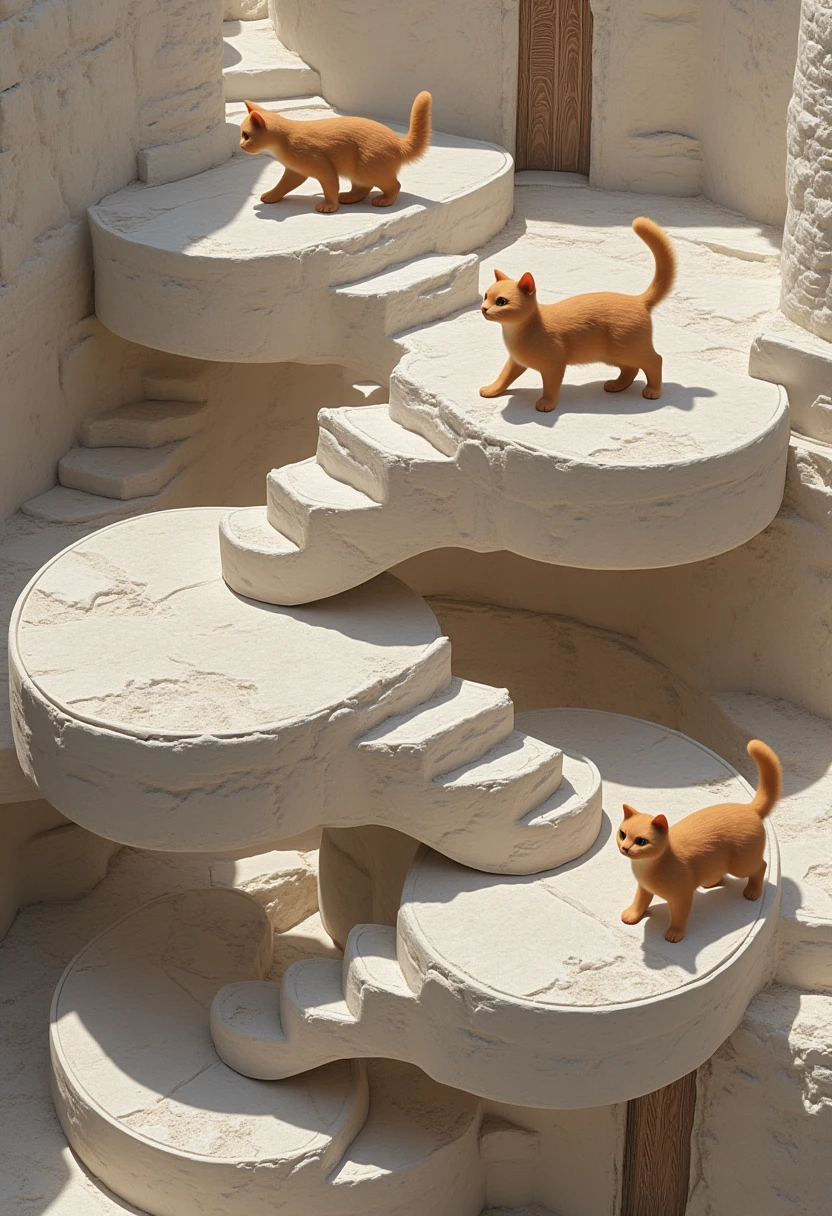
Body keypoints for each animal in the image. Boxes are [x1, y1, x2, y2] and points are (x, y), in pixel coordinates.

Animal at [238, 92, 433, 214]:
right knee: (363, 188)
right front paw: (271, 196)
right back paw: (348, 197)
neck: (285, 140)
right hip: (359, 171)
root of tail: (399, 142)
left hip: (369, 169)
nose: (241, 145)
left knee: (394, 185)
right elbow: (282, 185)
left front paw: (330, 206)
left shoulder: (324, 169)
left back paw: (384, 200)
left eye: (246, 135)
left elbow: (330, 188)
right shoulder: (295, 172)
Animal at [481, 216, 676, 411]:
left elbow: (551, 386)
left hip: (628, 349)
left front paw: (547, 403)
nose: (483, 308)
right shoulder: (516, 362)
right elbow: (504, 376)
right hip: (612, 354)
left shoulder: (554, 366)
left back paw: (653, 390)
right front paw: (492, 389)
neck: (516, 332)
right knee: (631, 369)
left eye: (501, 301)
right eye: (485, 296)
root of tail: (638, 300)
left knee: (655, 360)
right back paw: (617, 385)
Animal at [617, 734, 778, 943]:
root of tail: (749, 809)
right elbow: (640, 902)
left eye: (641, 841)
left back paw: (753, 891)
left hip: (742, 865)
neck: (646, 867)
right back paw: (711, 881)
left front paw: (675, 933)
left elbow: (679, 917)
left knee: (761, 866)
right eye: (622, 835)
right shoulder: (644, 888)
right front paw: (632, 915)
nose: (625, 848)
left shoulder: (682, 897)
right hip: (721, 859)